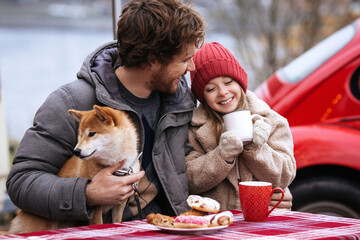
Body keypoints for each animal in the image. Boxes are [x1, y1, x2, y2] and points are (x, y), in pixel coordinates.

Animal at [9, 104, 140, 232]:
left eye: (91, 133)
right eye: (80, 136)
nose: (76, 151)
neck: (115, 165)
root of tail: (19, 213)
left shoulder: (120, 205)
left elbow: (118, 221)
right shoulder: (96, 207)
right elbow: (98, 224)